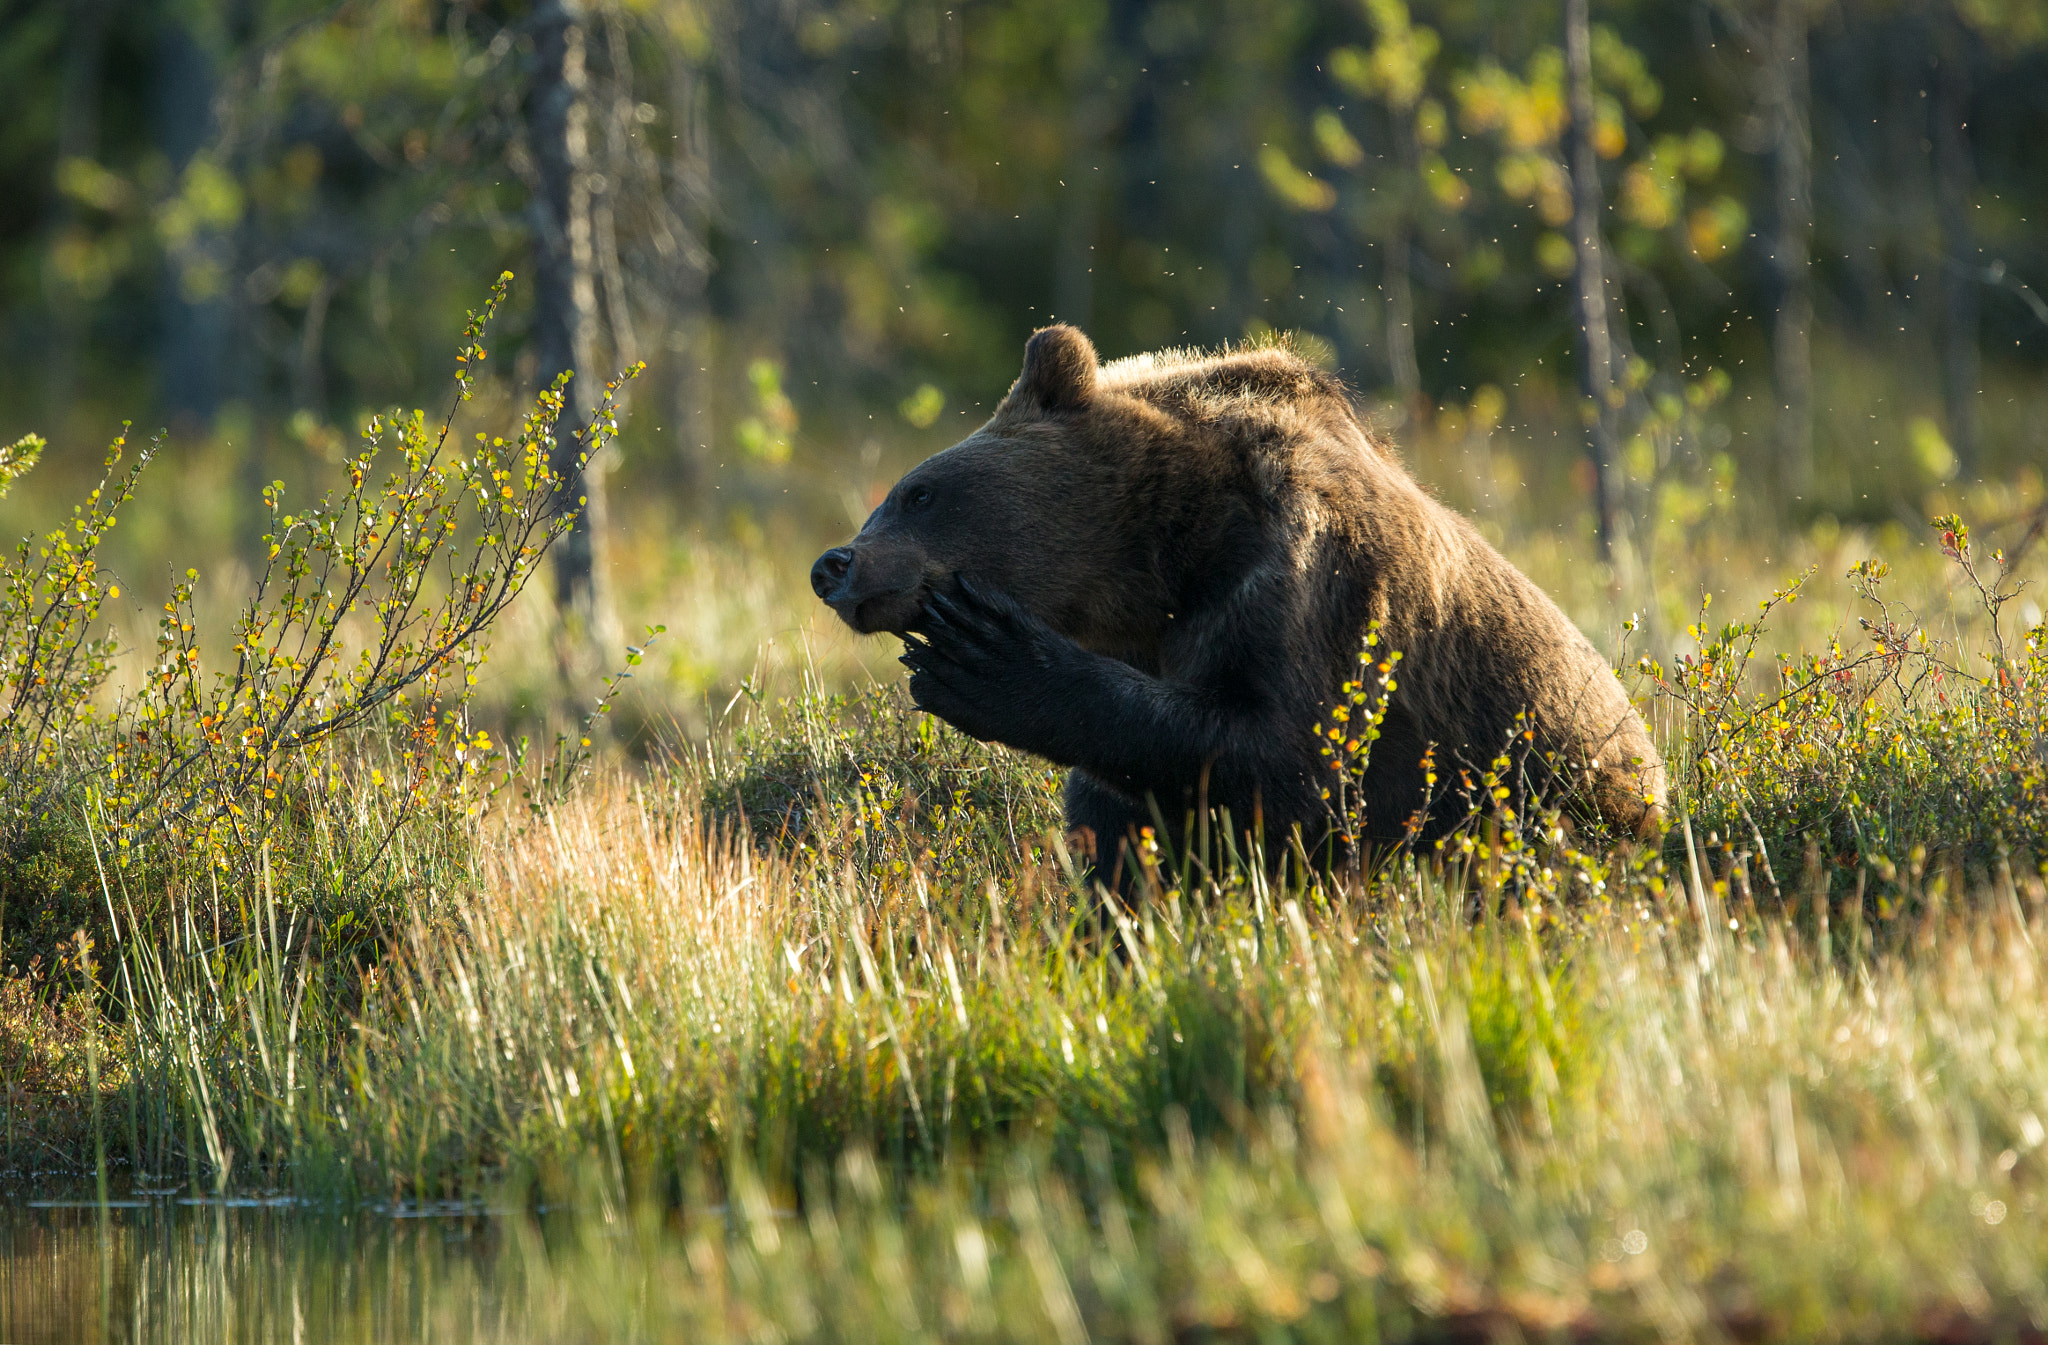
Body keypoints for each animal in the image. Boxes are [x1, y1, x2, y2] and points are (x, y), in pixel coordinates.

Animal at [806, 323, 1671, 880]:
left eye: (917, 491)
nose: (832, 564)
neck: (1164, 556)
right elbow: (1121, 810)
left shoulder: (1304, 583)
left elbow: (1290, 756)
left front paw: (986, 661)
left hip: (1566, 803)